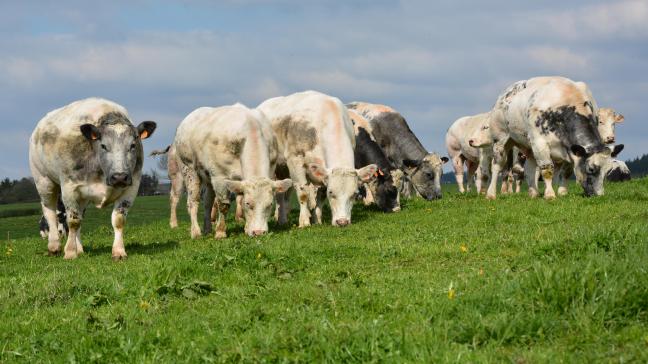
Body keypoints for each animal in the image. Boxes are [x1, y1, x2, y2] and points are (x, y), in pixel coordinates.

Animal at [30, 98, 157, 260]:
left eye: (133, 145)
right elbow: (72, 221)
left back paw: (79, 249)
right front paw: (69, 252)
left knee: (80, 216)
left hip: (82, 196)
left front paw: (119, 252)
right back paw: (54, 246)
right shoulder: (69, 188)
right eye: (103, 146)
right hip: (43, 180)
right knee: (50, 212)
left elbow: (118, 220)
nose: (119, 176)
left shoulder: (131, 188)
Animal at [173, 102, 292, 239]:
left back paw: (207, 229)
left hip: (208, 177)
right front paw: (220, 232)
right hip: (189, 170)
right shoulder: (219, 177)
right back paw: (196, 232)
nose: (258, 232)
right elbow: (223, 205)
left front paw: (246, 228)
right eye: (248, 204)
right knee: (193, 201)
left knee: (207, 202)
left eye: (270, 204)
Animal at [258, 91, 378, 228]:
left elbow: (320, 195)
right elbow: (303, 193)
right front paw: (304, 222)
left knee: (283, 193)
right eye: (331, 192)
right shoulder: (295, 160)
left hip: (283, 170)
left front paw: (317, 219)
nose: (342, 222)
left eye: (354, 194)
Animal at [470, 77, 624, 200]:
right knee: (497, 166)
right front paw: (550, 195)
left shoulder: (570, 149)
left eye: (608, 170)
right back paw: (491, 194)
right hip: (501, 140)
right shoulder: (540, 143)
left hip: (529, 146)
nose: (599, 195)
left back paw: (533, 193)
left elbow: (566, 172)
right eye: (591, 169)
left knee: (529, 169)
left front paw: (562, 192)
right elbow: (547, 171)